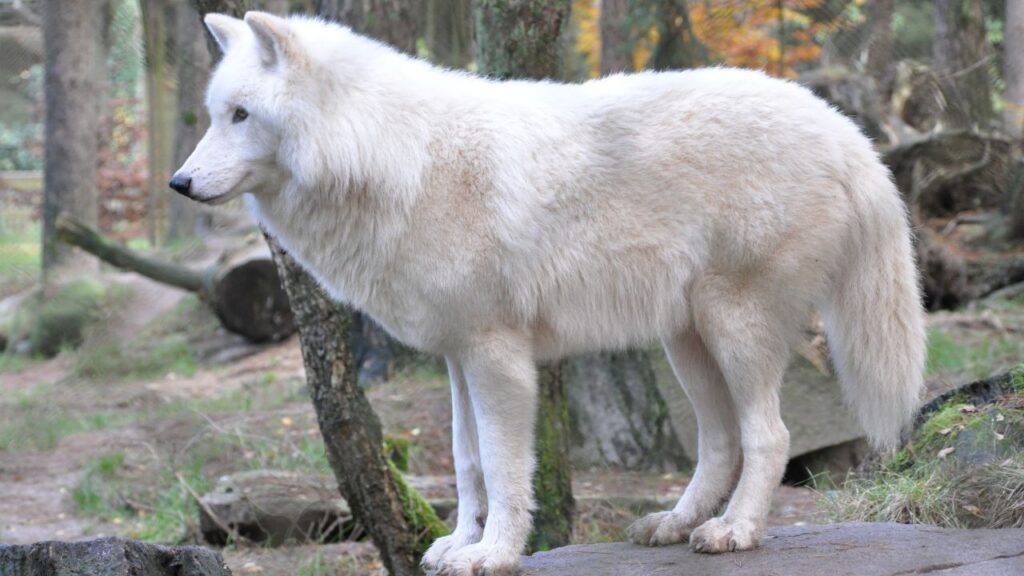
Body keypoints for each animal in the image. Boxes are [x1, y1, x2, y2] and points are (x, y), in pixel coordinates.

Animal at [172, 11, 926, 575]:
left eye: (241, 115)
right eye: (213, 114)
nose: (179, 183)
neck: (396, 157)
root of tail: (844, 127)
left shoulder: (497, 357)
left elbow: (507, 468)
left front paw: (494, 554)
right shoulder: (457, 357)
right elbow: (467, 461)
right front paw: (458, 544)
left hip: (733, 328)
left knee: (769, 436)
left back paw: (734, 532)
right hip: (687, 343)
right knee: (721, 442)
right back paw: (674, 523)